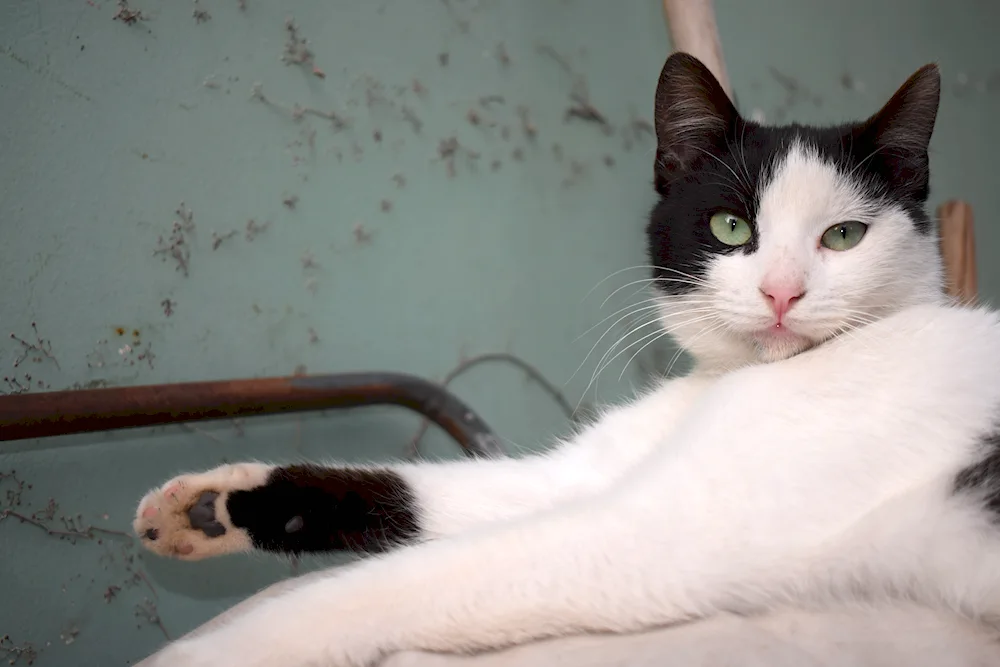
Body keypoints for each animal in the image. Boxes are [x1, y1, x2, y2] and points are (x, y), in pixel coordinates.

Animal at [135, 53, 1000, 667]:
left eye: (844, 236)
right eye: (730, 226)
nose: (782, 292)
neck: (731, 381)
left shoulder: (650, 535)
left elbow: (407, 579)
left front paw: (206, 652)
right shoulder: (579, 477)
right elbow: (431, 494)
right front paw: (208, 503)